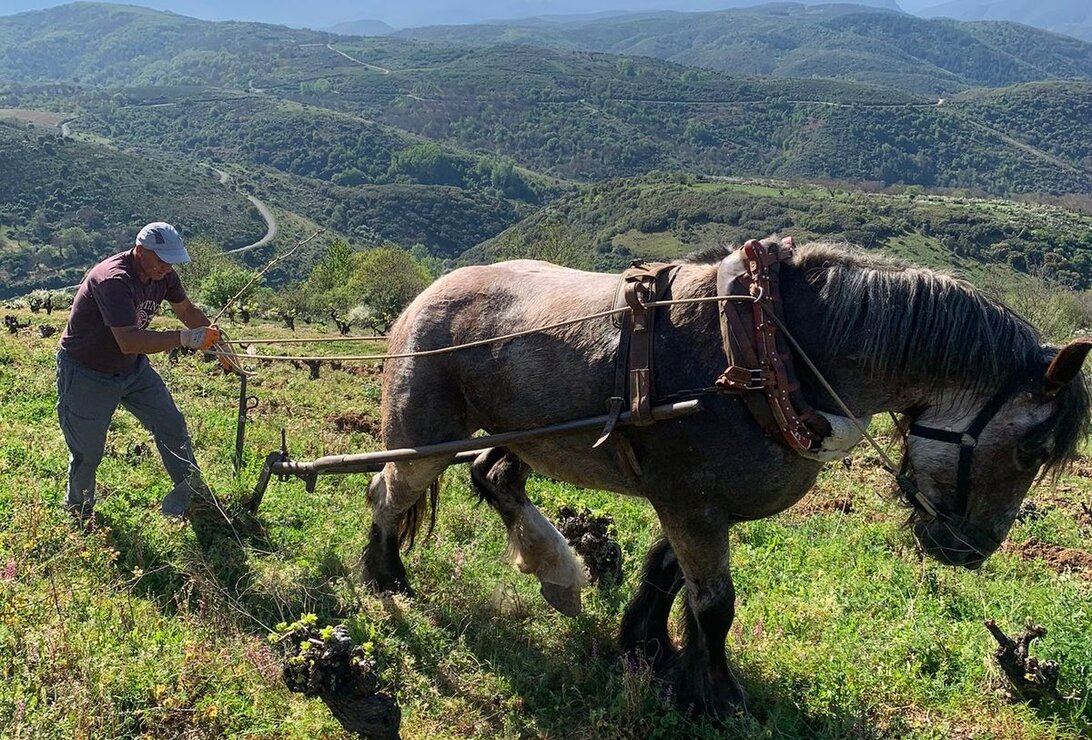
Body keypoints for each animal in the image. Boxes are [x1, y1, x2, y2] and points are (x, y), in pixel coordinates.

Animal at [360, 240, 1092, 715]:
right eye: (1032, 446)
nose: (970, 550)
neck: (773, 352)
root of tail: (426, 295)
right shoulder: (692, 503)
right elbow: (715, 605)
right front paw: (716, 693)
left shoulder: (692, 502)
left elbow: (665, 575)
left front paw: (648, 648)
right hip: (424, 434)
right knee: (389, 491)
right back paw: (386, 577)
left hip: (519, 436)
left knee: (493, 476)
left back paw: (553, 566)